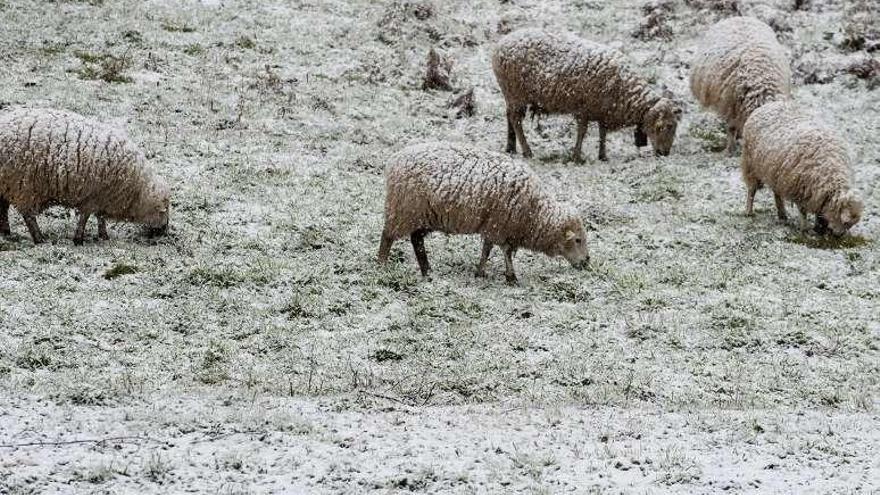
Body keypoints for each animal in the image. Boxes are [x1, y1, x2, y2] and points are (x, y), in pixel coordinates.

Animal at [0, 108, 170, 244]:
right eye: (164, 210)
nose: (165, 231)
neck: (136, 188)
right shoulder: (93, 197)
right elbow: (86, 217)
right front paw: (79, 239)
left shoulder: (102, 198)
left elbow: (100, 218)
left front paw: (103, 236)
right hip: (23, 186)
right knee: (28, 215)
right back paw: (39, 238)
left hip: (7, 184)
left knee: (4, 208)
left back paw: (6, 232)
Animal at [374, 141, 588, 284]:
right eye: (578, 240)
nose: (587, 262)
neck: (535, 212)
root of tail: (395, 160)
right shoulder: (500, 226)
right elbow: (504, 251)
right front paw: (511, 277)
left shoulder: (493, 226)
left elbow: (487, 249)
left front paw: (481, 271)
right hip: (403, 210)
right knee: (388, 236)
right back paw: (382, 264)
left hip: (424, 215)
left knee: (416, 240)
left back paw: (427, 271)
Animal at [492, 28, 684, 163]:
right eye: (663, 126)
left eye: (674, 126)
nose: (664, 153)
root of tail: (500, 44)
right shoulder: (584, 109)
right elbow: (583, 132)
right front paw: (577, 157)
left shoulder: (603, 111)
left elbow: (602, 133)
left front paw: (603, 156)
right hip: (516, 93)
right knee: (516, 121)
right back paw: (527, 151)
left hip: (510, 95)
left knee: (509, 117)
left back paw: (510, 148)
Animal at [740, 101, 864, 236]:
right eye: (845, 222)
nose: (839, 236)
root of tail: (768, 105)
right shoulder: (802, 189)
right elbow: (803, 211)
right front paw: (805, 228)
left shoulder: (817, 193)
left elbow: (820, 211)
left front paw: (818, 227)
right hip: (750, 165)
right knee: (752, 190)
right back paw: (749, 211)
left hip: (776, 173)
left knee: (777, 194)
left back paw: (782, 215)